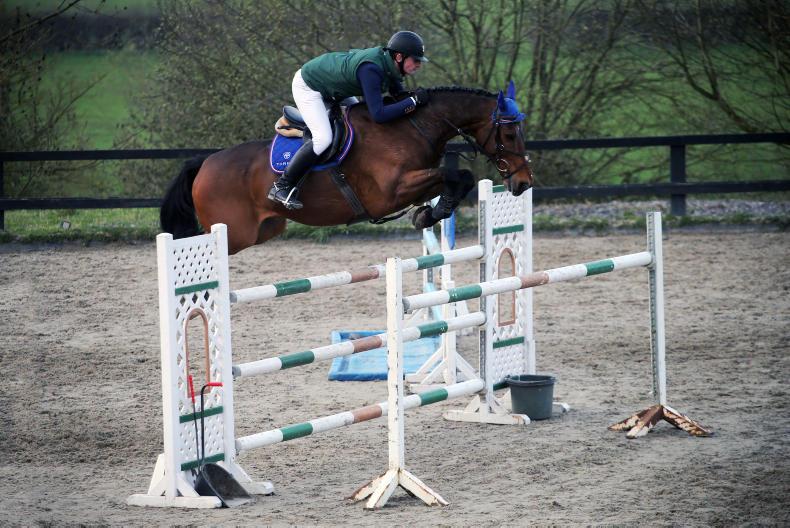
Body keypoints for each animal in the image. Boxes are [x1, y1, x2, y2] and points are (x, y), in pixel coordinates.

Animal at [160, 82, 534, 255]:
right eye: (509, 133)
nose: (524, 183)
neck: (410, 127)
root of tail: (204, 163)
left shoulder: (416, 183)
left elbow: (456, 179)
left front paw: (429, 213)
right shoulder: (391, 192)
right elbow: (456, 175)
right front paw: (432, 213)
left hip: (264, 229)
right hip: (231, 233)